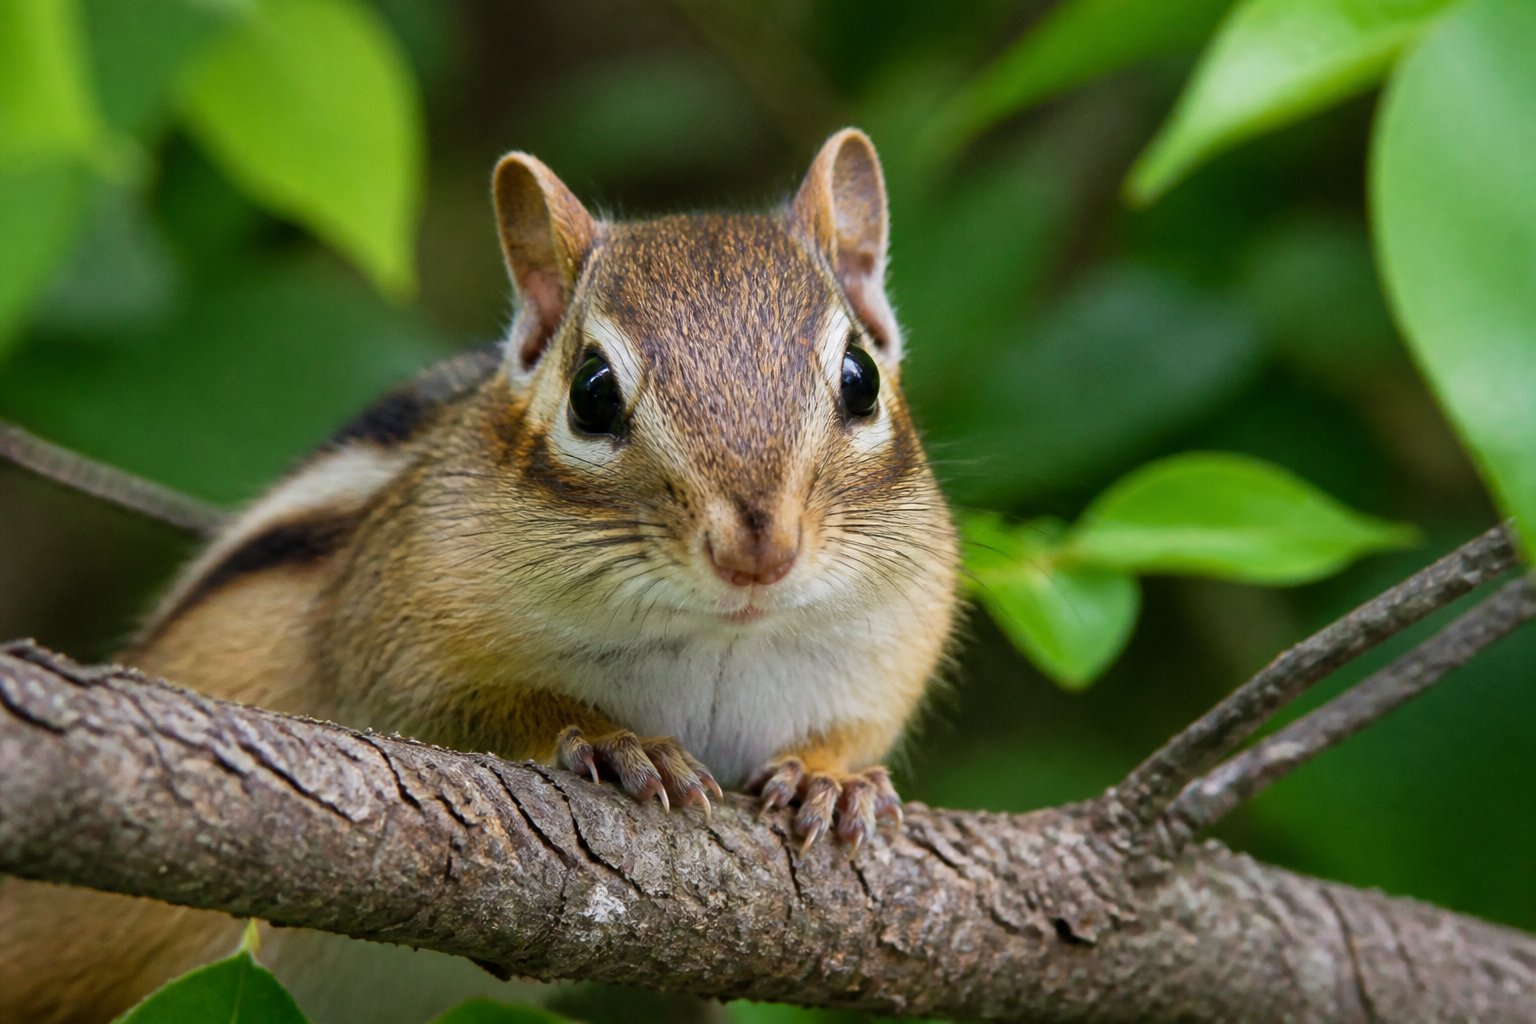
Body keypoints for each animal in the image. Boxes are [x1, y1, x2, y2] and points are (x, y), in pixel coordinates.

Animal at [0, 128, 960, 1023]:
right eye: (593, 393)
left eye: (860, 377)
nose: (758, 550)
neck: (718, 634)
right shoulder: (393, 637)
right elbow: (456, 714)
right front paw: (613, 740)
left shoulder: (887, 652)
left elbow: (854, 733)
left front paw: (834, 779)